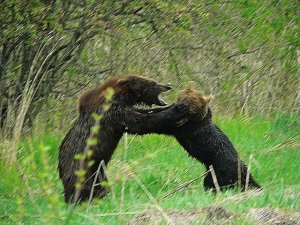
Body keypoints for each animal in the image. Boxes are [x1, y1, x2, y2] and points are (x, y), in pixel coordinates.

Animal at [58, 76, 188, 204]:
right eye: (153, 83)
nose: (168, 85)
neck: (121, 96)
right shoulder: (113, 113)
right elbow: (141, 122)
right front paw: (177, 108)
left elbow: (145, 113)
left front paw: (172, 105)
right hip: (82, 168)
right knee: (84, 185)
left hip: (98, 169)